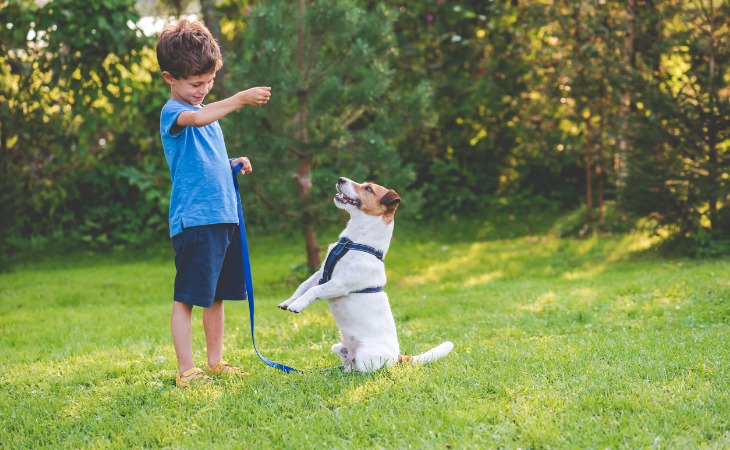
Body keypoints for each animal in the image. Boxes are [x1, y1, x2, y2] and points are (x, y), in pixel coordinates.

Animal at [278, 178, 452, 370]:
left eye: (368, 188)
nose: (341, 179)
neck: (353, 242)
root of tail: (398, 357)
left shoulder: (340, 284)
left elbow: (314, 290)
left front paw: (298, 305)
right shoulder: (320, 274)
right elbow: (303, 287)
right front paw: (289, 302)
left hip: (365, 355)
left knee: (365, 369)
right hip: (339, 346)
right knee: (346, 359)